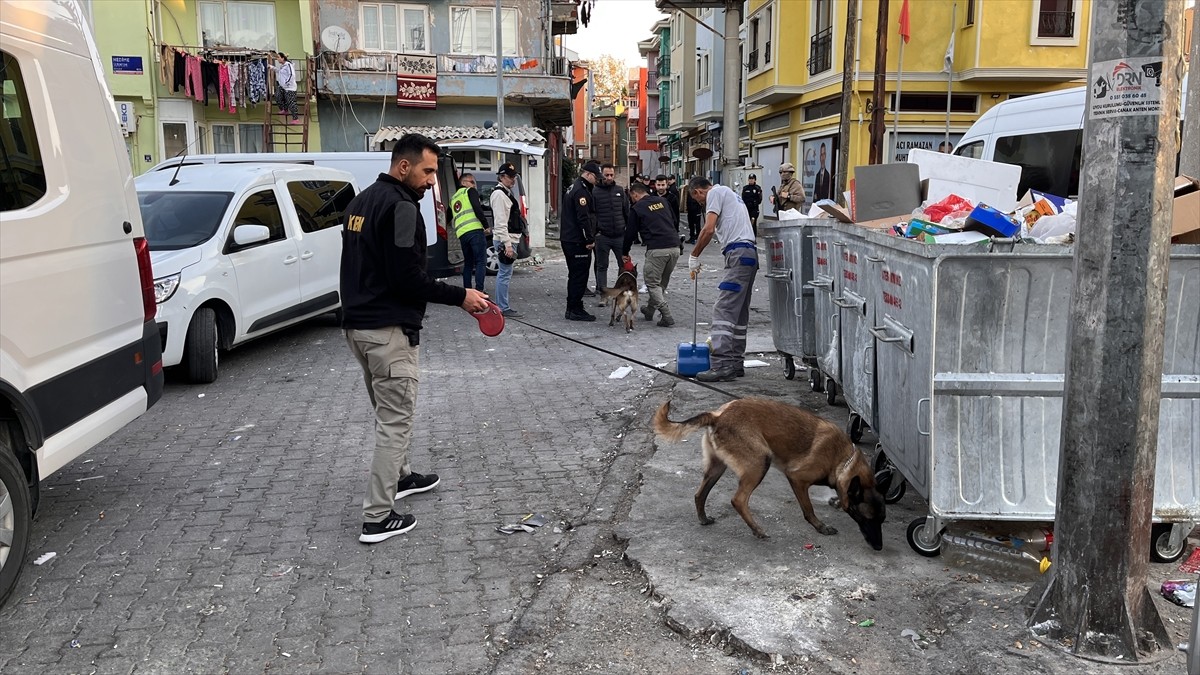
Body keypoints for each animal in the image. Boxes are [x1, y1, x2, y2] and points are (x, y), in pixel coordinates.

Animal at [652, 393, 888, 547]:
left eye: (882, 520)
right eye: (867, 518)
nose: (879, 547)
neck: (843, 459)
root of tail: (718, 415)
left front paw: (836, 501)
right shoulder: (797, 479)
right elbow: (808, 509)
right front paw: (820, 527)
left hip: (717, 468)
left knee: (699, 494)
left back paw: (703, 518)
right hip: (760, 462)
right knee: (738, 500)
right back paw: (757, 530)